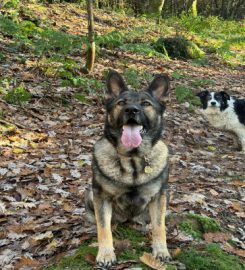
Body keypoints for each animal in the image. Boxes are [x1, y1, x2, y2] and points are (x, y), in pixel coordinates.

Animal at [85, 70, 171, 268]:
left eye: (146, 104)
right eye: (121, 103)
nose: (132, 110)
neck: (133, 159)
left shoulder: (159, 196)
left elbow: (159, 226)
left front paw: (161, 250)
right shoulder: (101, 196)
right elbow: (103, 228)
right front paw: (106, 254)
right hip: (90, 195)